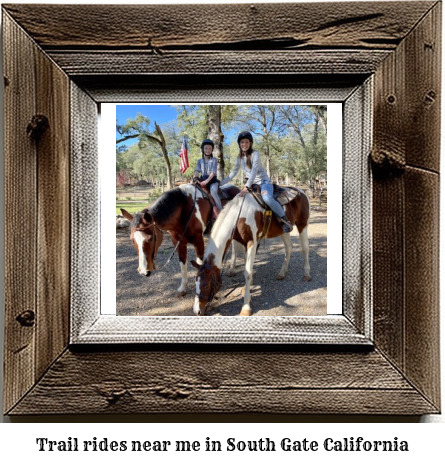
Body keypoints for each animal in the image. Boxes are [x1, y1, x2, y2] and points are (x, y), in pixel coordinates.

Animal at [190, 188, 308, 316]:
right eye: (195, 281)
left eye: (205, 285)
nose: (197, 311)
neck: (239, 215)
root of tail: (301, 191)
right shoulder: (242, 241)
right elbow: (246, 263)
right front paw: (248, 286)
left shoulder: (252, 241)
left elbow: (247, 272)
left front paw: (246, 306)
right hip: (283, 231)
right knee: (289, 247)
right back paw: (282, 273)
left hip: (302, 224)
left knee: (305, 248)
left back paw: (307, 274)